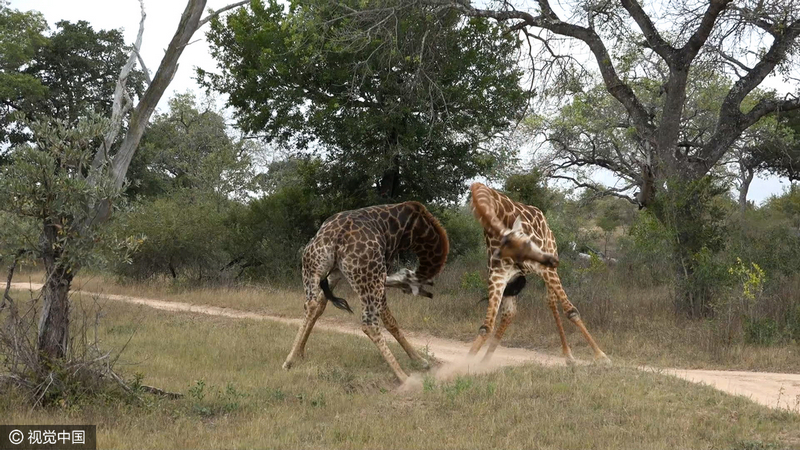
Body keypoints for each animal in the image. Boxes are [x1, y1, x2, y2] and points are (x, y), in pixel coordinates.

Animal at [282, 202, 446, 382]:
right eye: (408, 287)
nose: (429, 294)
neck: (418, 229)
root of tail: (337, 237)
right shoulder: (386, 263)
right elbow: (391, 321)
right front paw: (421, 360)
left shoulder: (336, 273)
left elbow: (320, 306)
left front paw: (299, 353)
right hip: (371, 277)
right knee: (369, 324)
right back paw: (403, 377)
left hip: (312, 268)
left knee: (310, 304)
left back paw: (288, 361)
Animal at [466, 183, 608, 366]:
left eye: (530, 241)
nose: (551, 260)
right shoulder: (498, 276)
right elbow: (486, 327)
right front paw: (464, 364)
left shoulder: (541, 267)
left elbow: (571, 311)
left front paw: (602, 356)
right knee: (510, 312)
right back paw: (485, 360)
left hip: (550, 260)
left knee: (551, 301)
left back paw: (569, 356)